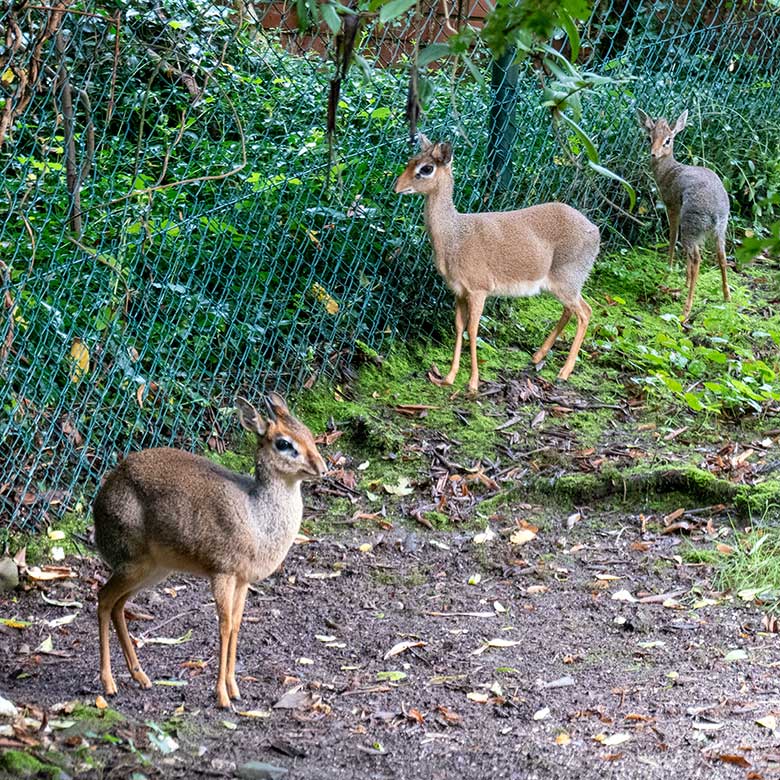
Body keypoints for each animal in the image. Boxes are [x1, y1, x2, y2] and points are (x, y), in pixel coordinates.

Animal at [94, 396, 326, 708]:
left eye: (309, 433)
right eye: (284, 443)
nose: (322, 467)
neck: (257, 517)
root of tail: (100, 503)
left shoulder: (243, 580)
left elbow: (237, 625)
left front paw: (234, 688)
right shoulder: (222, 573)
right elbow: (224, 626)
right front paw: (222, 696)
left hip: (153, 571)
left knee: (118, 605)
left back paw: (140, 676)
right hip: (133, 564)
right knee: (104, 599)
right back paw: (109, 684)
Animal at [396, 136, 604, 394]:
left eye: (426, 168)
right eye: (410, 160)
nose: (397, 186)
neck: (454, 237)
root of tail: (596, 231)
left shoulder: (479, 289)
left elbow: (473, 330)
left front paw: (473, 382)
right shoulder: (458, 291)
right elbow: (459, 327)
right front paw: (448, 377)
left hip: (567, 280)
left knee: (585, 312)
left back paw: (563, 373)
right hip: (563, 285)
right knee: (571, 310)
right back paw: (537, 357)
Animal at [636, 108, 728, 318]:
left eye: (668, 140)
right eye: (649, 137)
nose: (654, 154)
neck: (669, 171)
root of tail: (716, 212)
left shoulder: (672, 206)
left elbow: (671, 237)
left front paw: (667, 271)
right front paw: (684, 282)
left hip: (691, 226)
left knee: (696, 258)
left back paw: (686, 309)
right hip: (719, 231)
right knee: (721, 255)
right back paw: (727, 297)